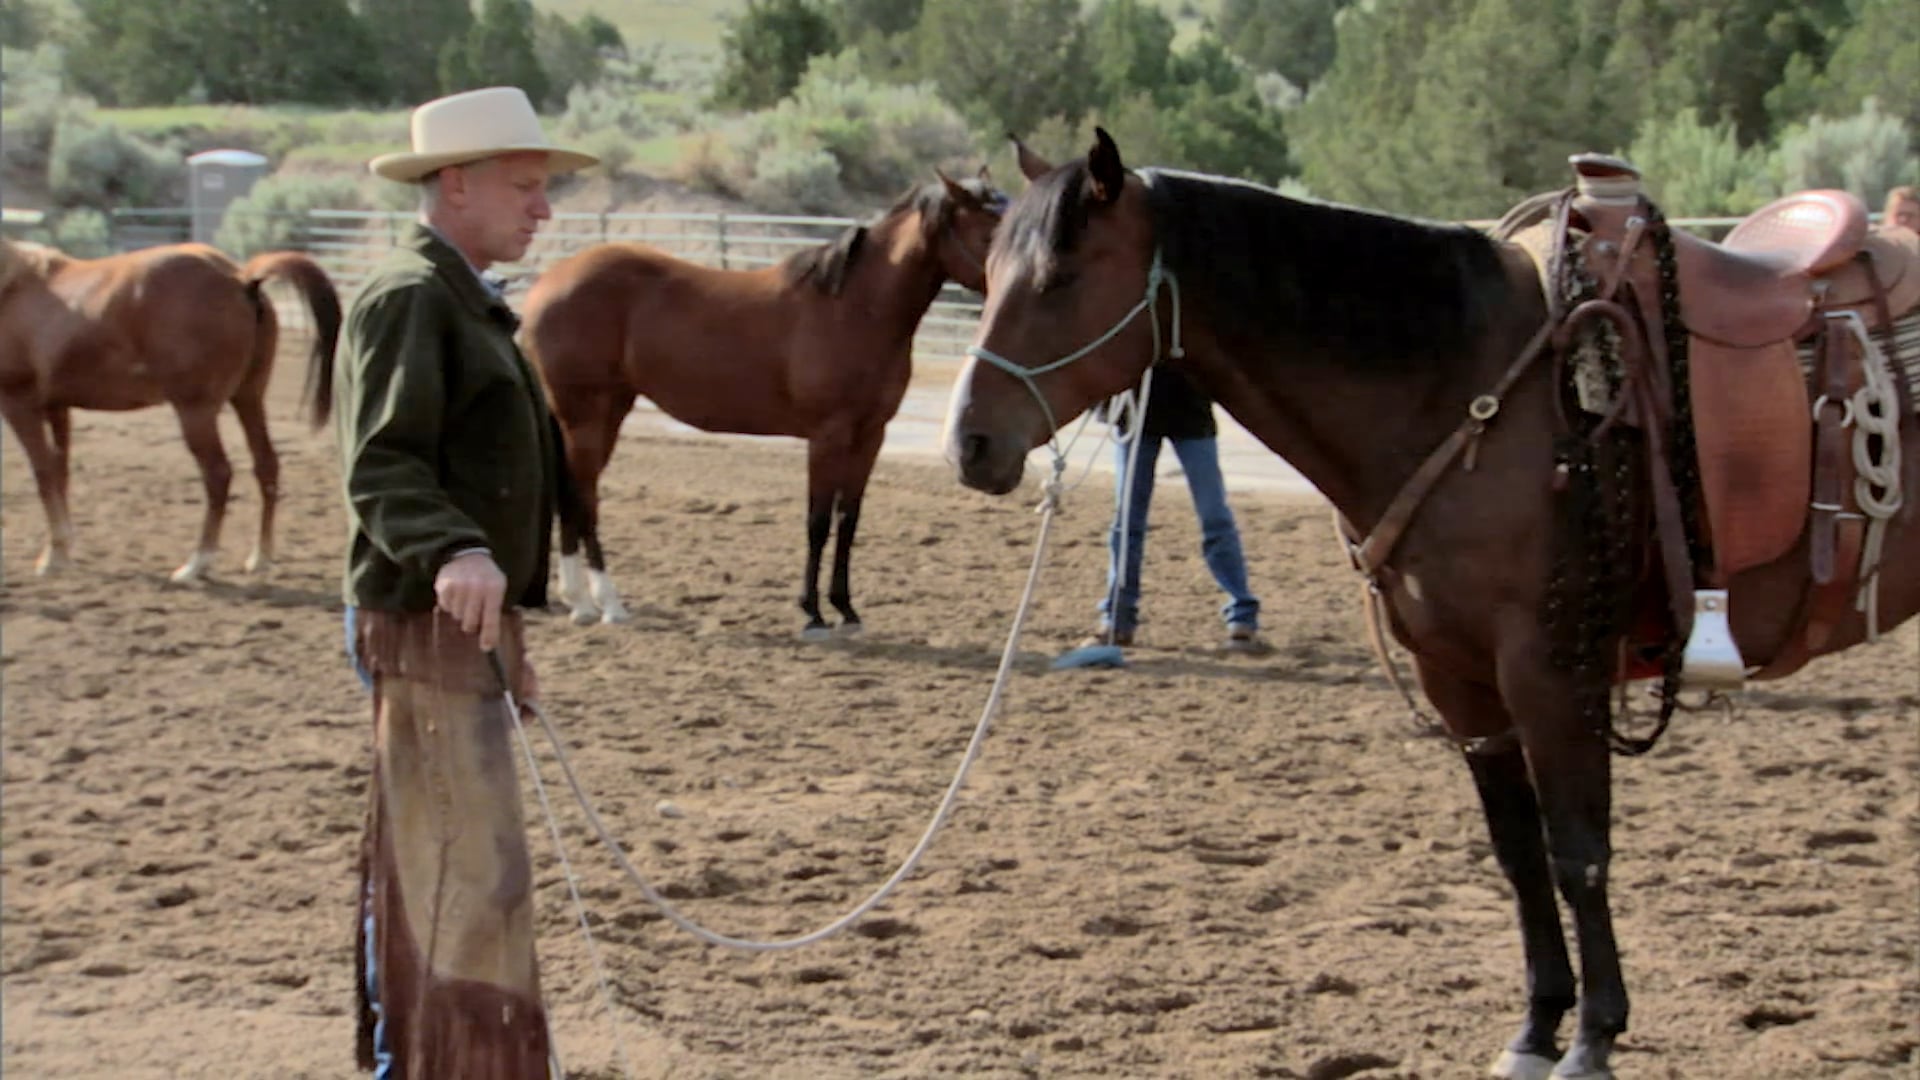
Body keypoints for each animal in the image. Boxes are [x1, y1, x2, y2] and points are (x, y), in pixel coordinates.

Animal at [0, 238, 342, 583]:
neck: (14, 286)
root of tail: (240, 278)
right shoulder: (57, 406)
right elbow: (60, 472)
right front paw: (60, 551)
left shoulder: (19, 404)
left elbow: (43, 474)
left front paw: (52, 557)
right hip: (248, 398)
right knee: (266, 466)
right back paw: (260, 556)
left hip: (196, 412)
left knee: (218, 474)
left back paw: (197, 563)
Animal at [523, 168, 1008, 634]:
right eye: (991, 236)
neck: (854, 308)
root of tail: (549, 281)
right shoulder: (828, 436)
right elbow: (818, 522)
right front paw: (813, 612)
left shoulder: (870, 435)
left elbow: (848, 520)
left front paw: (846, 609)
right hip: (586, 414)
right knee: (585, 496)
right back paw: (606, 604)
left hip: (606, 412)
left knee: (573, 493)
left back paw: (578, 602)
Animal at [944, 130, 1919, 1079]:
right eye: (987, 271)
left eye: (1060, 277)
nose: (970, 443)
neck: (1468, 385)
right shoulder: (1462, 682)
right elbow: (1519, 855)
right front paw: (1536, 1028)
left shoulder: (1551, 674)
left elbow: (1578, 852)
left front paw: (1594, 1037)